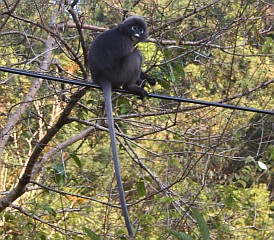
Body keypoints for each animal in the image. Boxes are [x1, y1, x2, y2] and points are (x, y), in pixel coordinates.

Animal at [89, 15, 155, 237]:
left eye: (140, 29)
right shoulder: (126, 42)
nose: (136, 33)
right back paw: (132, 87)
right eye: (133, 27)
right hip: (120, 73)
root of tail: (103, 78)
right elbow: (133, 52)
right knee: (136, 55)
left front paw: (148, 77)